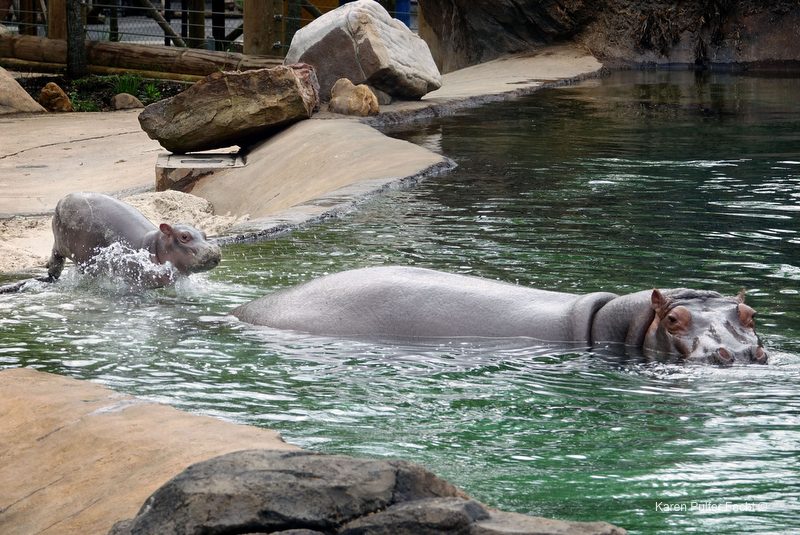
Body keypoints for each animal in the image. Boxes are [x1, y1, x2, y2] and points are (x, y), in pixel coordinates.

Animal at [45, 192, 223, 286]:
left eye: (204, 234)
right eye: (184, 236)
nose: (213, 249)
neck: (153, 247)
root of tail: (63, 198)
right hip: (61, 244)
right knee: (56, 260)